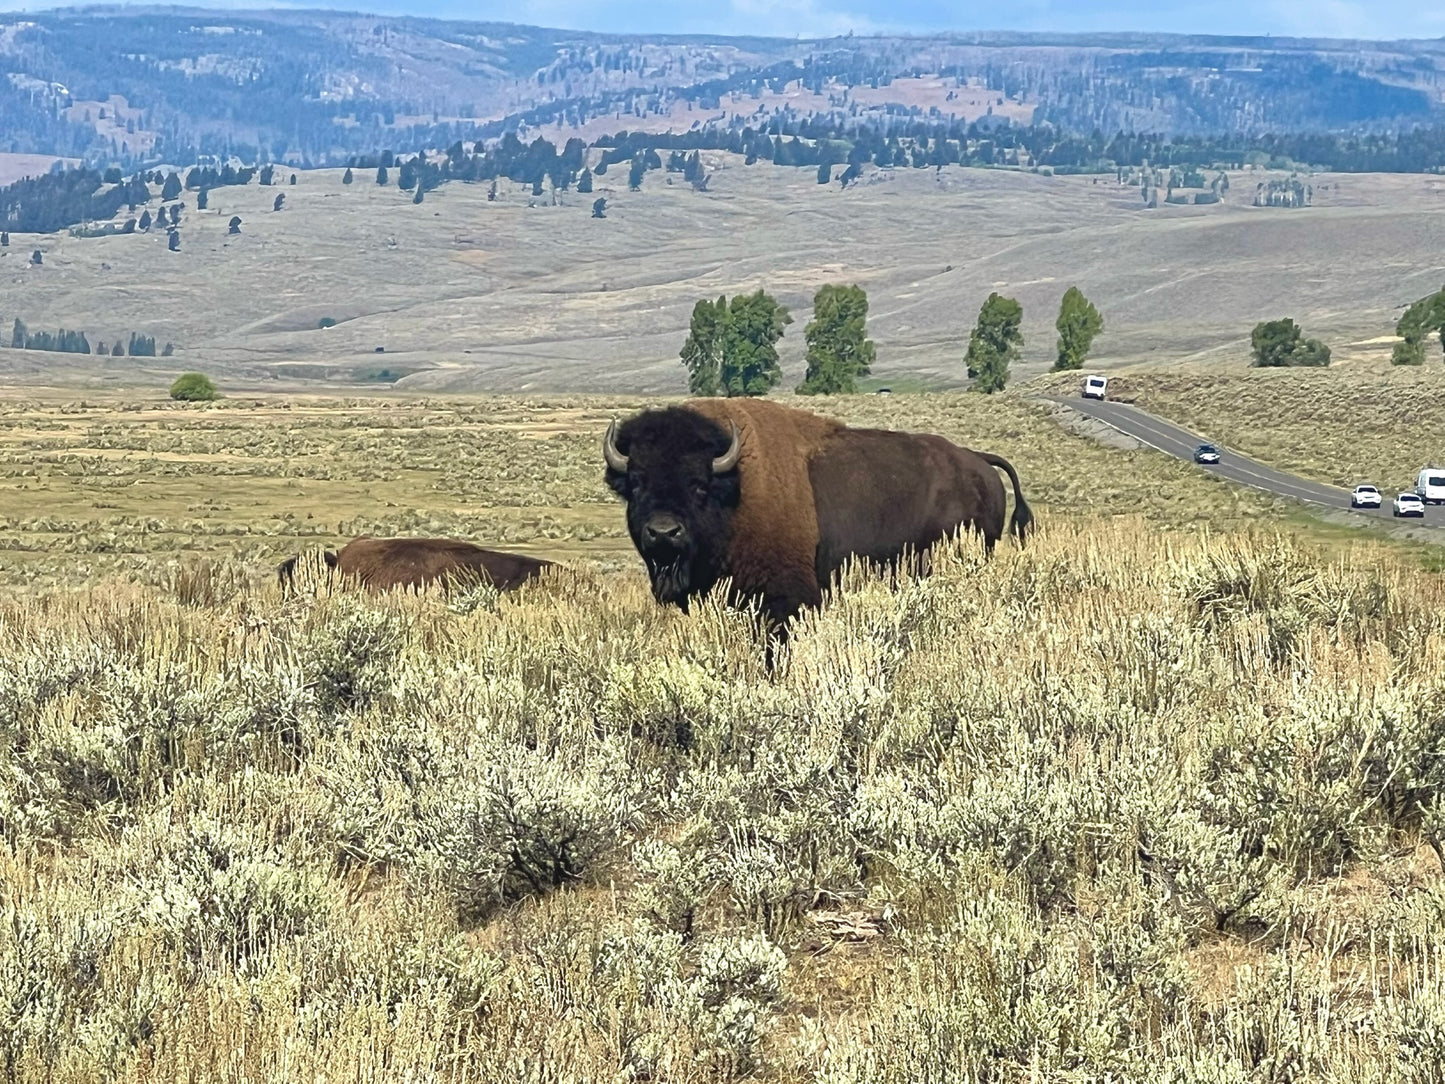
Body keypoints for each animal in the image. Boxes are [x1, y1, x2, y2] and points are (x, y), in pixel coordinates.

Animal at [603, 398, 1031, 626]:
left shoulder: (786, 599)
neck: (734, 486)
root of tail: (979, 462)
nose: (663, 532)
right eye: (636, 482)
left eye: (698, 484)